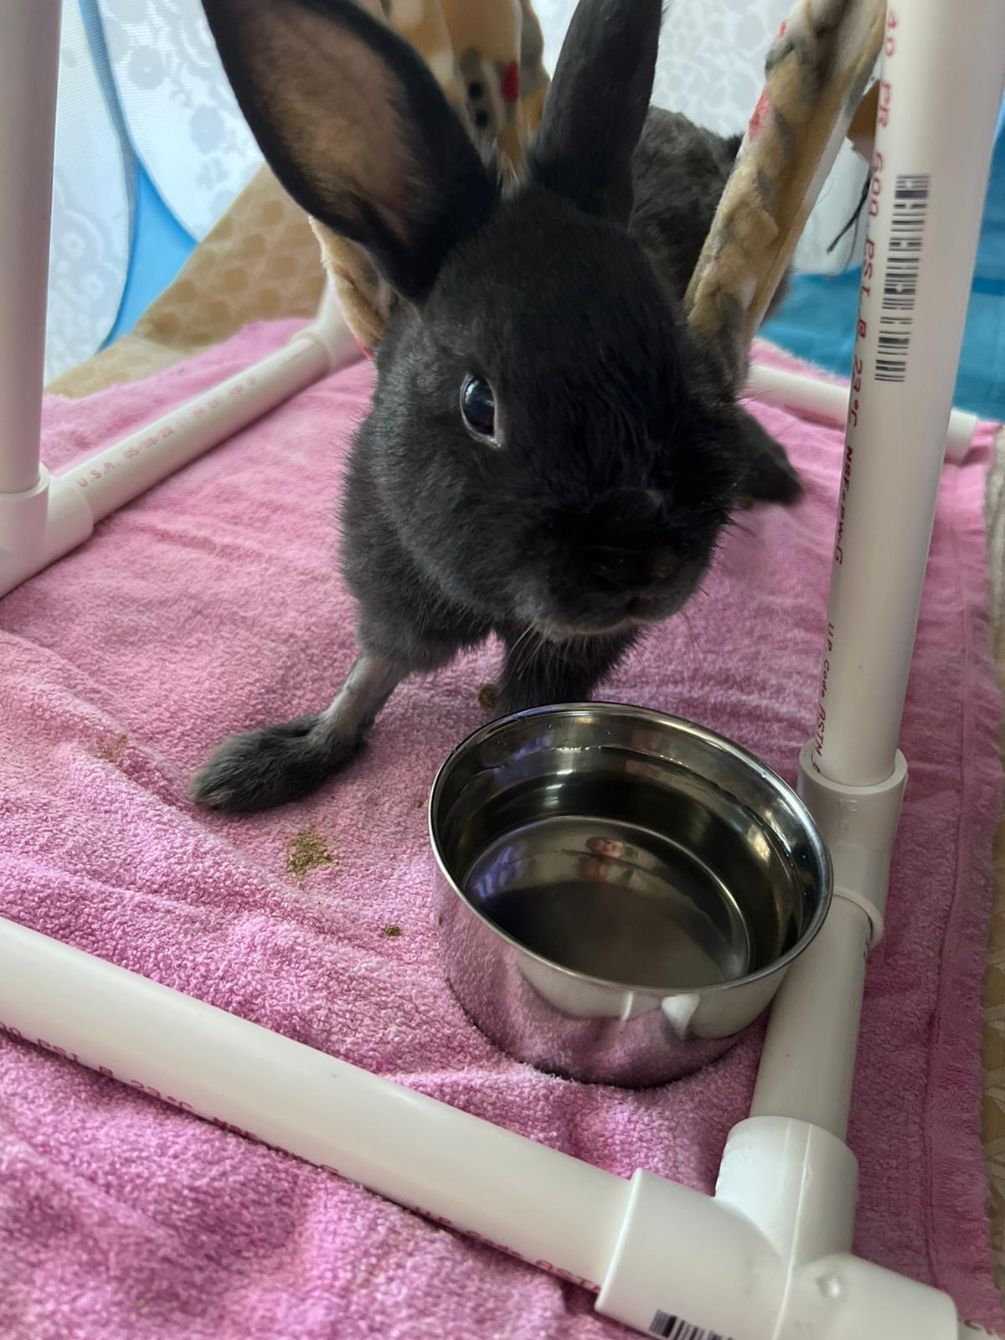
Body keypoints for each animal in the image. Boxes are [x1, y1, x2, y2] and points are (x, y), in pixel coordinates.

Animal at [191, 0, 801, 814]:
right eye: (479, 404)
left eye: (683, 363)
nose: (636, 564)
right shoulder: (397, 579)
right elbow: (369, 675)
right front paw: (270, 765)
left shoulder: (576, 644)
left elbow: (525, 706)